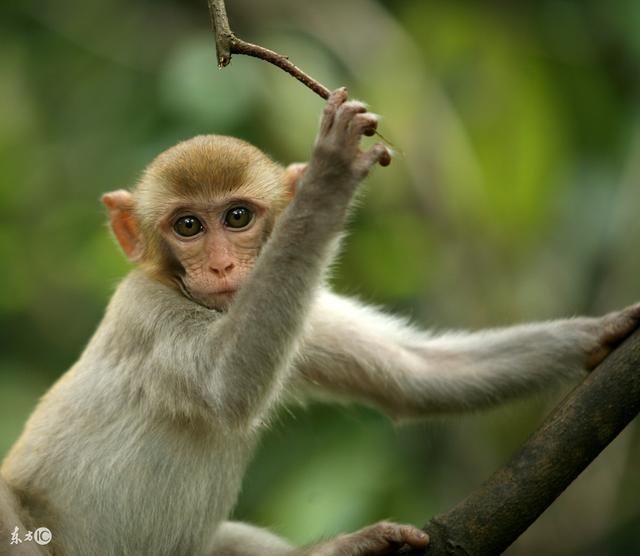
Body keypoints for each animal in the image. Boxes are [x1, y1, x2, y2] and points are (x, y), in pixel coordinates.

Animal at [0, 88, 636, 556]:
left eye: (236, 217)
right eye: (187, 226)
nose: (222, 265)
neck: (196, 300)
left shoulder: (302, 317)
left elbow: (414, 376)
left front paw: (606, 333)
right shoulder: (145, 312)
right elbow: (227, 384)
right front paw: (329, 180)